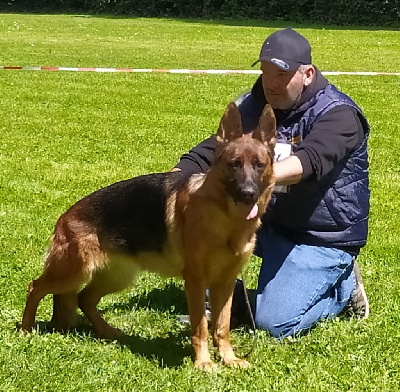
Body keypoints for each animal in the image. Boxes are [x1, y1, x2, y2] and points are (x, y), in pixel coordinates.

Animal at [20, 102, 276, 370]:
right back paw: (25, 329)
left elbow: (222, 326)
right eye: (234, 164)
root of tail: (65, 216)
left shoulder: (224, 284)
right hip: (74, 272)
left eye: (259, 165)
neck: (225, 221)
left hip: (116, 277)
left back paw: (106, 331)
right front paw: (204, 362)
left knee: (84, 299)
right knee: (35, 287)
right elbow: (201, 328)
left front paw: (229, 358)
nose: (248, 193)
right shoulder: (196, 283)